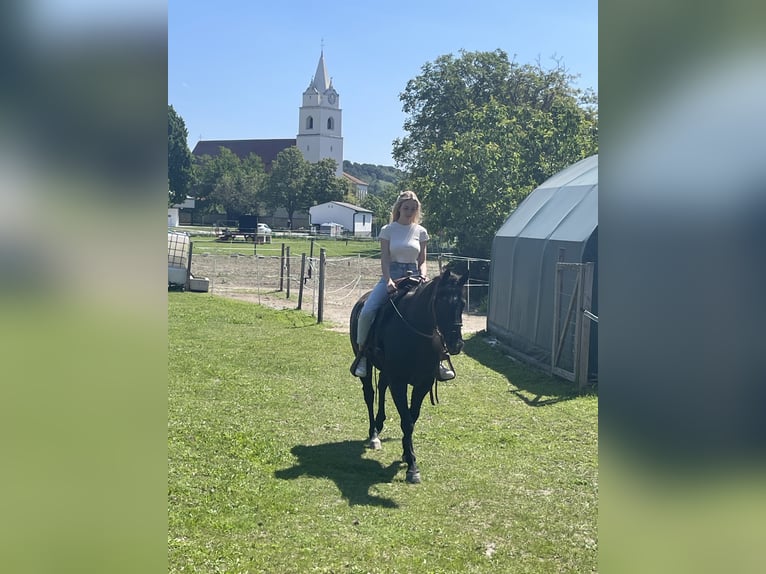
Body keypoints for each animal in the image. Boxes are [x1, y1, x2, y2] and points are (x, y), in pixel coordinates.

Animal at [348, 268, 468, 484]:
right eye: (441, 301)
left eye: (462, 303)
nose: (456, 344)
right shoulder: (399, 383)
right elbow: (407, 421)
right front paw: (412, 466)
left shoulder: (423, 383)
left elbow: (412, 417)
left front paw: (406, 453)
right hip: (366, 365)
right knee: (369, 394)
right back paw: (374, 435)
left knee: (381, 387)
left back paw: (380, 423)